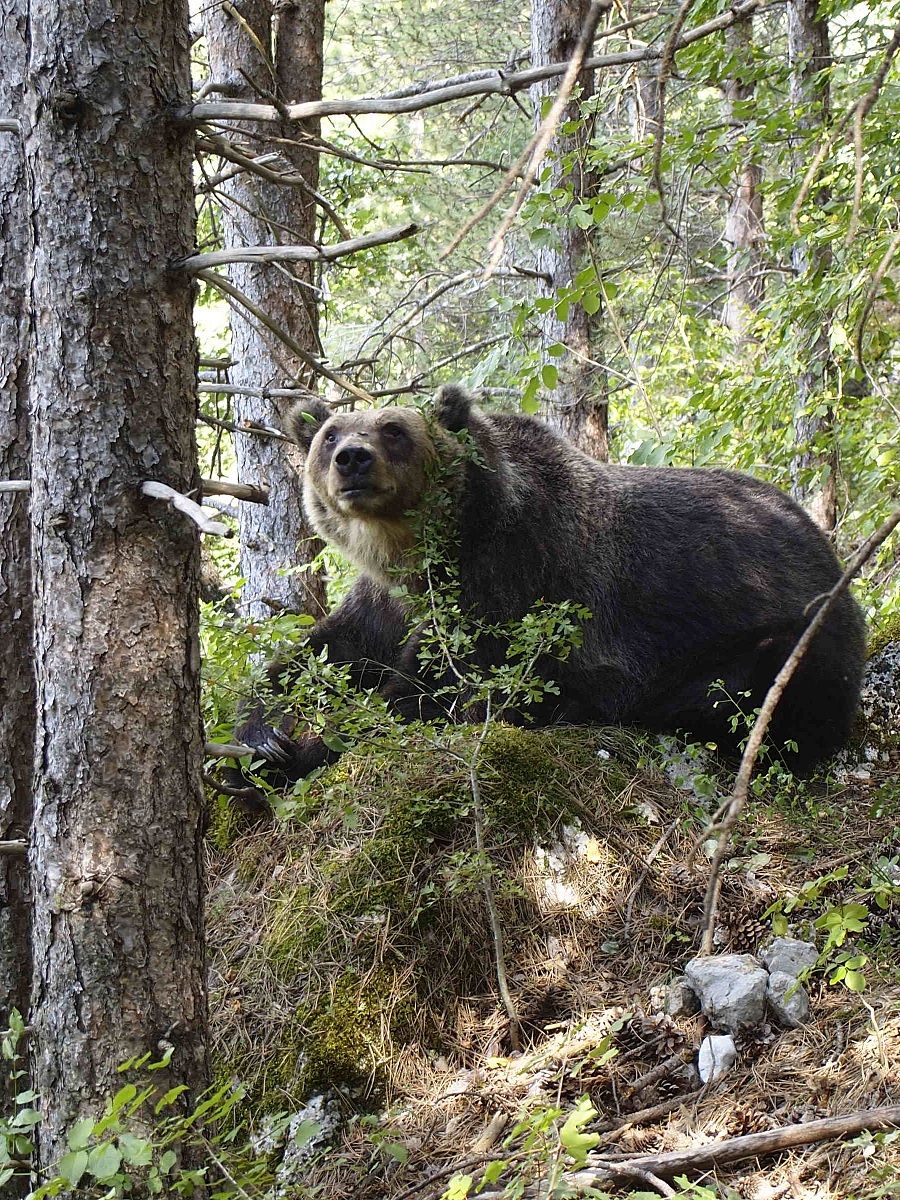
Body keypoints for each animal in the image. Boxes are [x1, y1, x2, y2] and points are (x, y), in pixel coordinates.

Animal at [235, 385, 866, 781]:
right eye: (329, 434)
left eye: (393, 430)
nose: (352, 458)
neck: (414, 550)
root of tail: (827, 549)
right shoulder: (385, 597)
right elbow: (329, 648)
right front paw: (261, 732)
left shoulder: (509, 577)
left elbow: (432, 689)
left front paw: (311, 748)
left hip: (791, 627)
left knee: (756, 693)